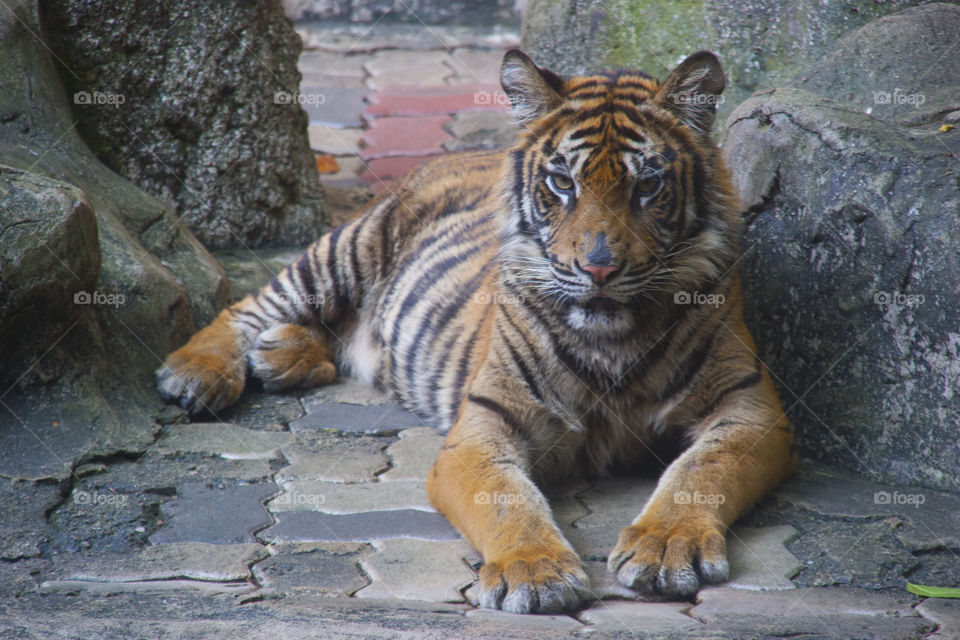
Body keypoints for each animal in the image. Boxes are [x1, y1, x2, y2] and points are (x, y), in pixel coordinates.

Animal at [158, 50, 796, 616]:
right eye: (562, 183)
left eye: (647, 187)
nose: (598, 269)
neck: (611, 340)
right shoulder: (484, 426)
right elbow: (509, 500)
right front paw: (535, 574)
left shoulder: (750, 408)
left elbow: (700, 471)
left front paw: (666, 548)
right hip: (347, 248)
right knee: (248, 305)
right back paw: (197, 374)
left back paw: (281, 355)